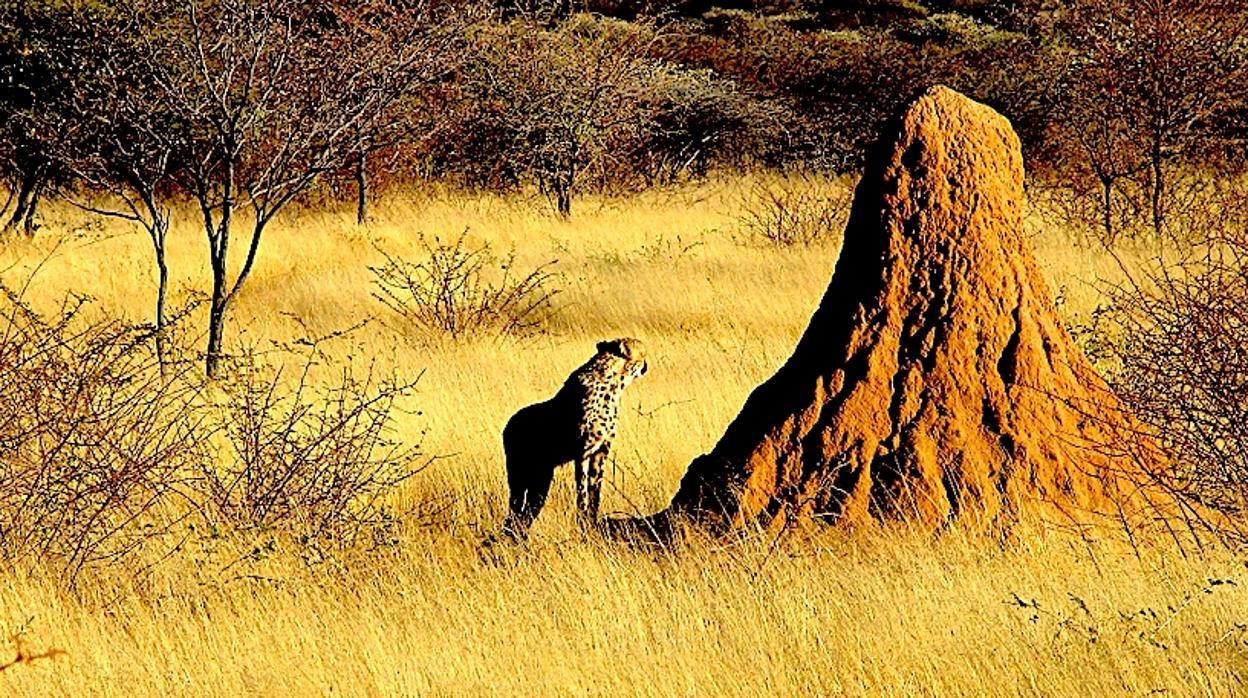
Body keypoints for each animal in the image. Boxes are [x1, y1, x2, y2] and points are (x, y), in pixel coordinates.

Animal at [501, 339, 648, 541]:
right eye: (643, 354)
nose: (646, 366)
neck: (613, 383)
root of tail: (509, 424)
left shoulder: (600, 452)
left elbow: (595, 492)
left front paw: (592, 521)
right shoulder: (582, 454)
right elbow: (583, 493)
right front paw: (583, 522)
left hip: (540, 478)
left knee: (525, 512)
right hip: (522, 474)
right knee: (516, 510)